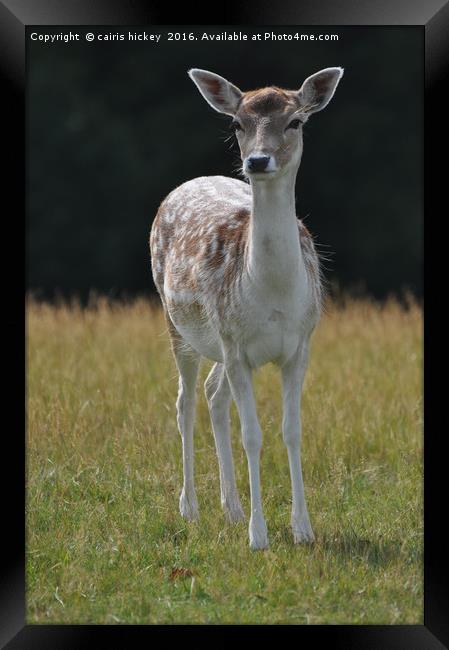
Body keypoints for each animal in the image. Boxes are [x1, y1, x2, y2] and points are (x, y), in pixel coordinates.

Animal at [150, 66, 344, 548]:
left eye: (296, 121)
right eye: (238, 123)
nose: (257, 161)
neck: (272, 294)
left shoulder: (300, 344)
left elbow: (292, 431)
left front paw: (303, 529)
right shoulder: (238, 346)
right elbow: (252, 435)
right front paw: (260, 536)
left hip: (219, 342)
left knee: (213, 394)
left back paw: (232, 509)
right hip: (179, 322)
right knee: (185, 402)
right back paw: (192, 508)